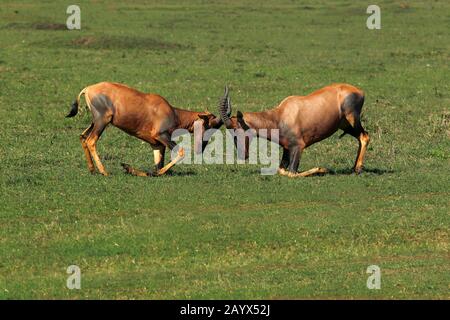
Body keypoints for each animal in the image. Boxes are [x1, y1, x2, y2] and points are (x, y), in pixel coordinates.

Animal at [67, 81, 227, 176]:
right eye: (209, 125)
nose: (201, 148)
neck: (172, 112)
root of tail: (88, 89)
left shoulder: (156, 144)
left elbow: (158, 165)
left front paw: (129, 168)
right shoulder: (161, 135)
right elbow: (180, 153)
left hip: (95, 122)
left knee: (83, 137)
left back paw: (92, 169)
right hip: (102, 121)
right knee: (91, 140)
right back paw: (104, 171)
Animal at [218, 82, 370, 178]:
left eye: (236, 129)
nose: (242, 155)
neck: (280, 116)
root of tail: (360, 92)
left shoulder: (299, 147)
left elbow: (292, 173)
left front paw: (321, 169)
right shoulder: (287, 148)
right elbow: (281, 170)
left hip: (352, 119)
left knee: (365, 136)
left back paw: (357, 169)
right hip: (344, 125)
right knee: (361, 137)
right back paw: (354, 168)